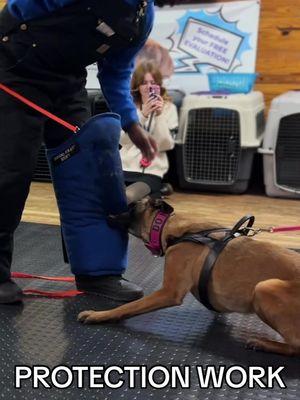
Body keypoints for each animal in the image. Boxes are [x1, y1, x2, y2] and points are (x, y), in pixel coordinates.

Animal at [78, 198, 300, 358]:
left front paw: (99, 315)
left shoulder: (168, 292)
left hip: (264, 287)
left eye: (131, 207)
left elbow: (127, 307)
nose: (107, 215)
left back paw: (264, 344)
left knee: (296, 346)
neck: (172, 228)